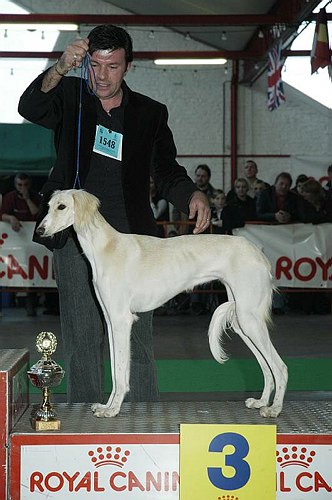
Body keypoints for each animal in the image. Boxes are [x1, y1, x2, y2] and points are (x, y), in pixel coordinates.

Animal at [37, 190, 288, 418]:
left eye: (61, 206)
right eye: (47, 205)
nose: (40, 230)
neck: (106, 247)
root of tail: (258, 253)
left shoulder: (121, 321)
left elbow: (120, 372)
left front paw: (113, 409)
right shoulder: (110, 321)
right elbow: (116, 370)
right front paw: (107, 406)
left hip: (248, 318)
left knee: (280, 368)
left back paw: (274, 408)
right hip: (242, 320)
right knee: (267, 368)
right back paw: (261, 402)